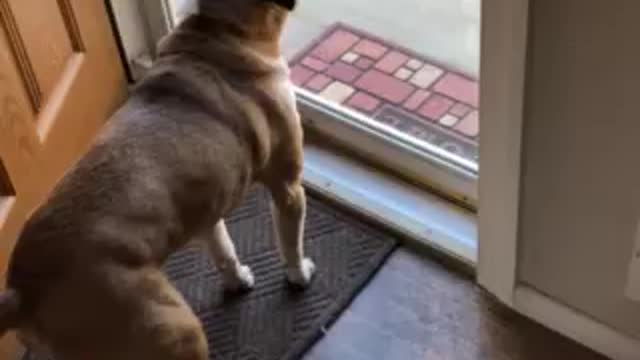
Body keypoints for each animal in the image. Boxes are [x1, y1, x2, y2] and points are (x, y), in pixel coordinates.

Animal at [0, 1, 312, 358]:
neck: (222, 29)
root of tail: (23, 290)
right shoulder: (287, 187)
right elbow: (290, 242)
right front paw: (299, 274)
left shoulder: (208, 210)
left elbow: (224, 250)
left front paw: (236, 280)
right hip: (175, 328)